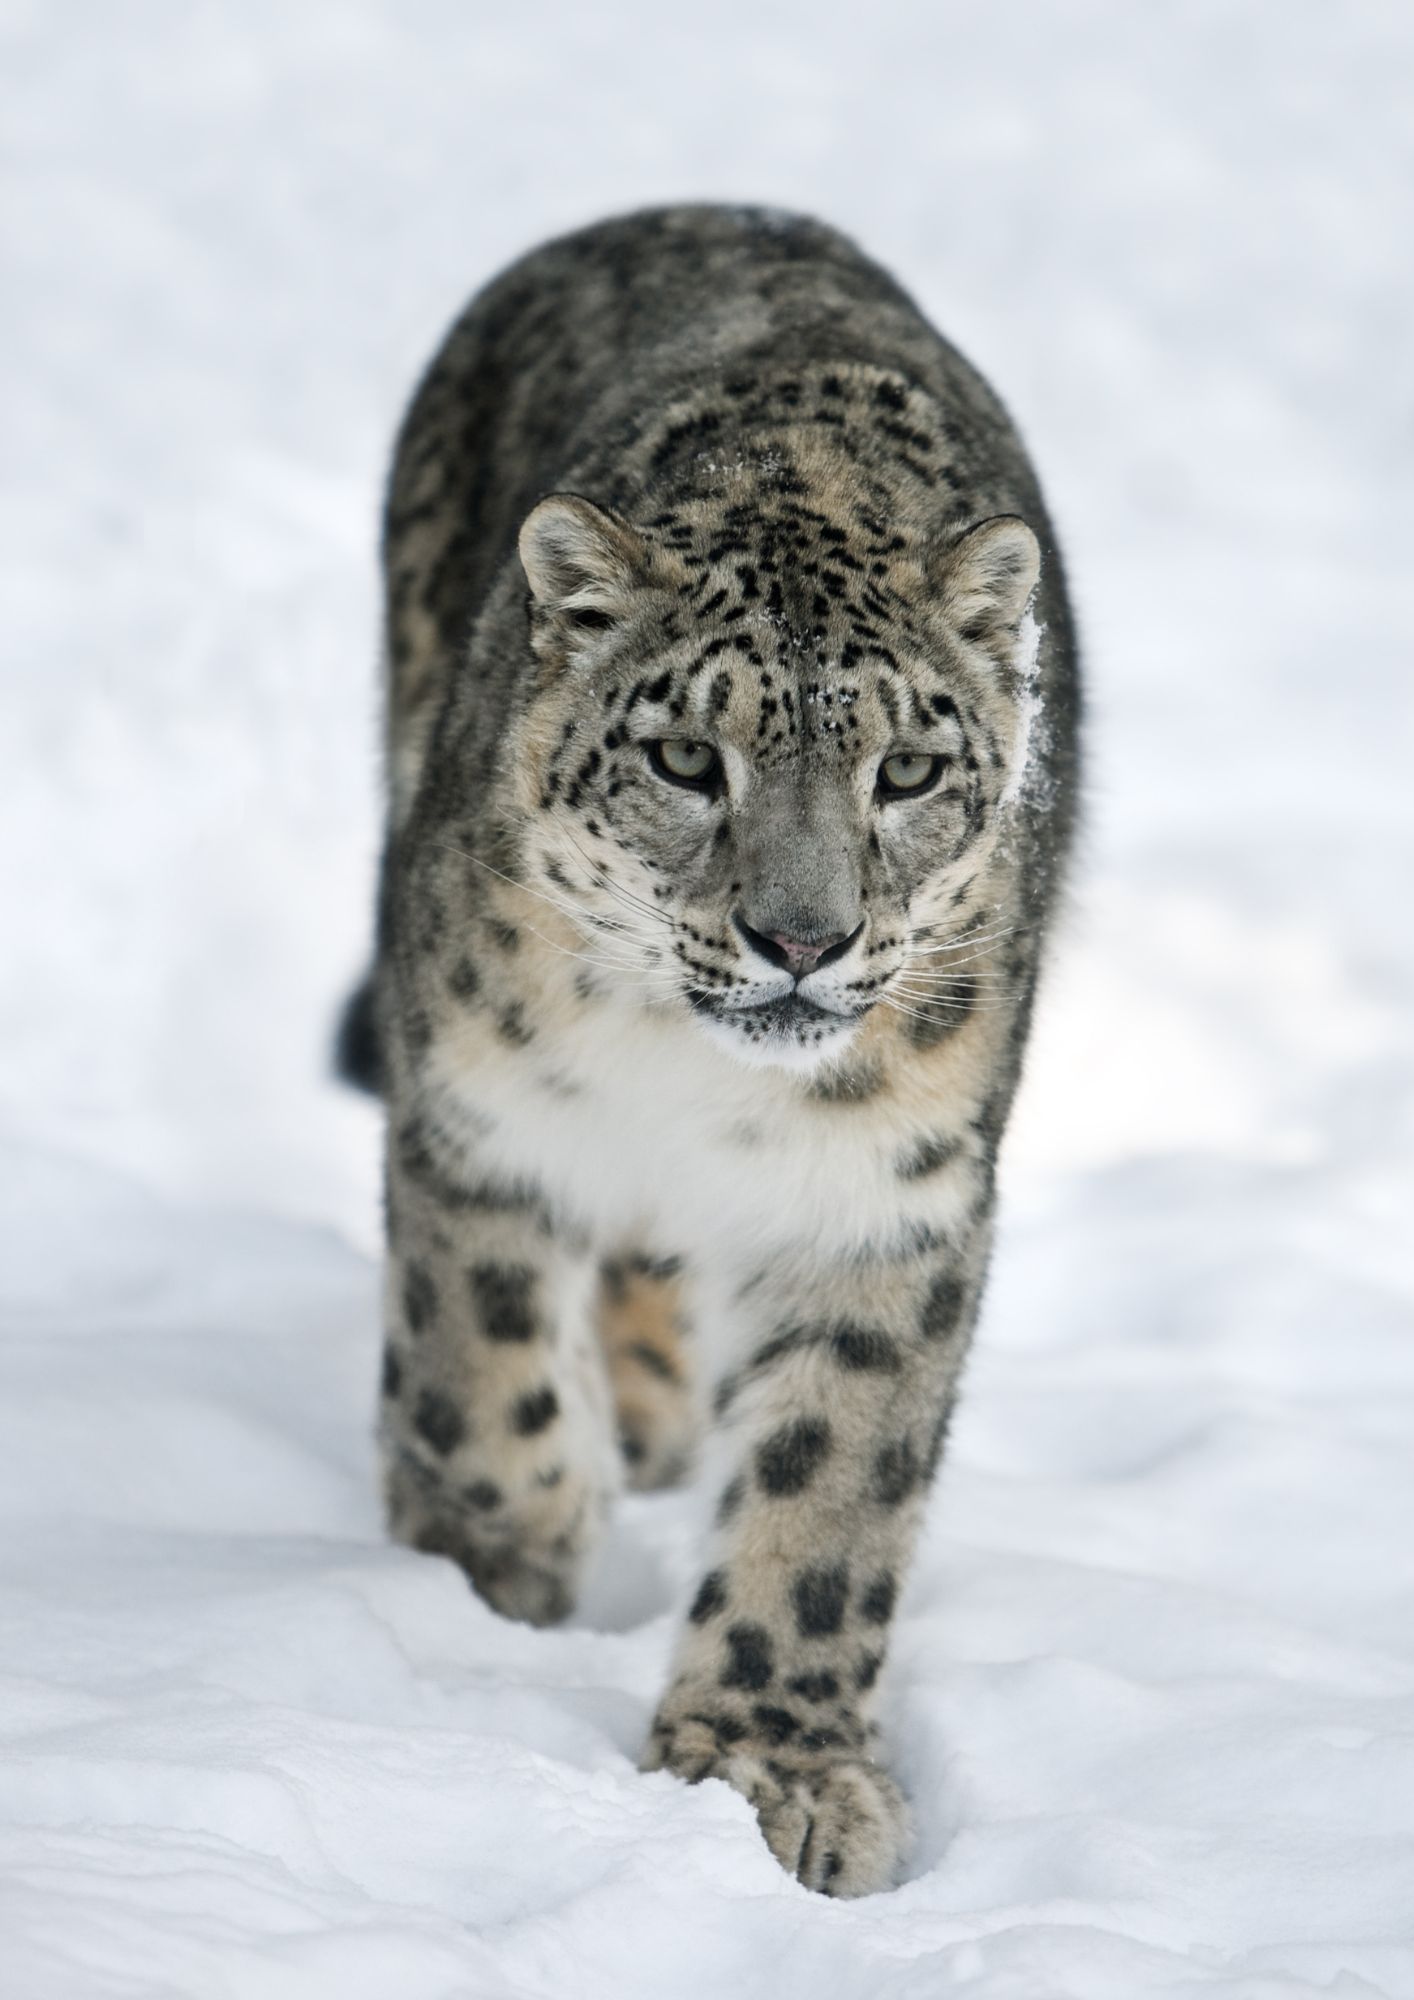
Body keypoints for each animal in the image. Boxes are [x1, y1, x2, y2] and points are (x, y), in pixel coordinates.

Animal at [338, 205, 1081, 1898]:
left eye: (907, 770)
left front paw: (769, 1772)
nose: (798, 938)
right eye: (687, 757)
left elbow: (828, 1498)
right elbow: (475, 1361)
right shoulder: (476, 1103)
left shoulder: (888, 1196)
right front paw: (496, 1573)